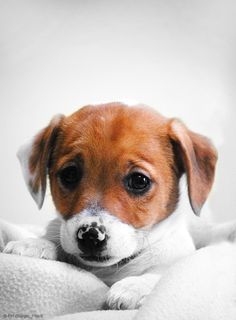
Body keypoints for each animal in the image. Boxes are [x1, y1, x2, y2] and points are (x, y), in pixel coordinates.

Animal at [3, 102, 236, 310]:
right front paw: (36, 244)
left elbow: (164, 274)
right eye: (69, 174)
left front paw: (136, 286)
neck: (108, 271)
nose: (90, 236)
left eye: (139, 180)